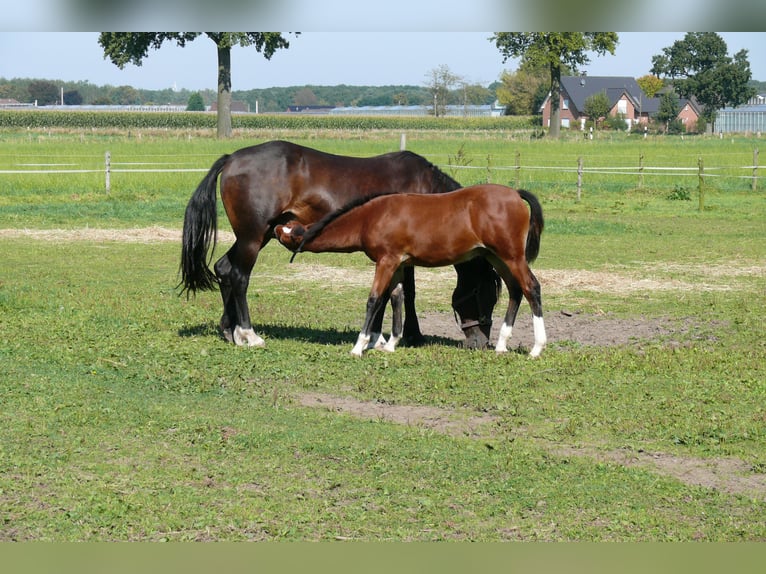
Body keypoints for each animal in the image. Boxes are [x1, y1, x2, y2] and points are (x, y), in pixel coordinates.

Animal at [182, 142, 500, 348]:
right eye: (482, 293)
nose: (481, 342)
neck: (424, 191)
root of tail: (232, 158)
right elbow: (405, 293)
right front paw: (410, 334)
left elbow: (393, 292)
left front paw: (379, 336)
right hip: (252, 237)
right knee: (239, 277)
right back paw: (249, 334)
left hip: (256, 237)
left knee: (224, 268)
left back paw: (230, 331)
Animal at [274, 184, 544, 358]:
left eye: (287, 234)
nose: (275, 226)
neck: (370, 217)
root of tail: (515, 194)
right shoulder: (399, 264)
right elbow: (397, 298)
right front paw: (391, 344)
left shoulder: (387, 260)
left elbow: (374, 299)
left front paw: (359, 346)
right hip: (495, 257)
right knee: (515, 290)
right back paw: (501, 345)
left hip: (512, 257)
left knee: (531, 287)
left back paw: (537, 347)